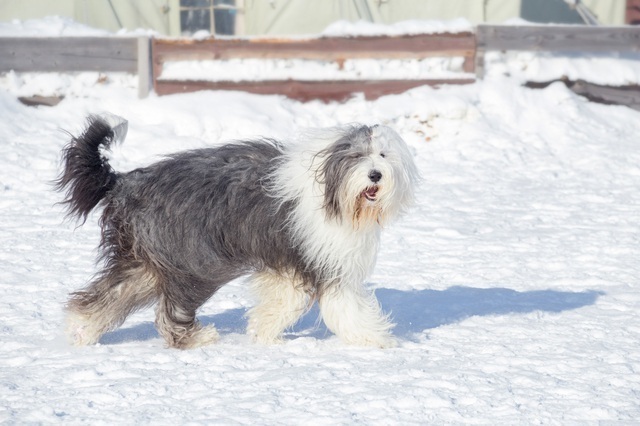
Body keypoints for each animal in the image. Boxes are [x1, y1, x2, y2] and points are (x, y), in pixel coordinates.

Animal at [56, 114, 420, 350]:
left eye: (383, 155)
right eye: (357, 156)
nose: (375, 175)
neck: (331, 185)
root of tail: (123, 181)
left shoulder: (287, 260)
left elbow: (285, 299)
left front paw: (263, 332)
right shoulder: (324, 259)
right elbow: (342, 305)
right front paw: (377, 339)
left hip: (143, 258)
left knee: (109, 294)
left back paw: (81, 330)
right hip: (195, 262)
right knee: (166, 311)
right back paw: (195, 339)